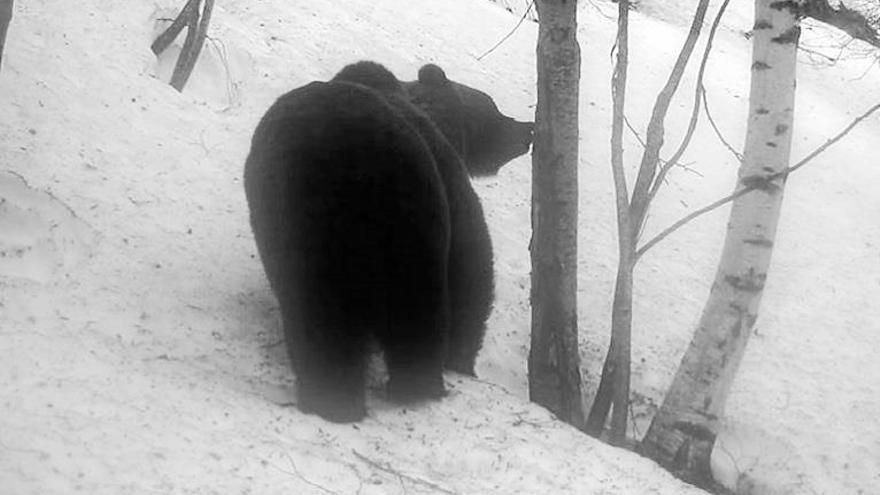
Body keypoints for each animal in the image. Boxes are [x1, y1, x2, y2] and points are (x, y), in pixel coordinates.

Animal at [248, 61, 532, 422]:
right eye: (493, 108)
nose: (528, 130)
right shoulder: (451, 188)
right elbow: (472, 271)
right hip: (407, 229)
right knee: (411, 313)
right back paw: (407, 387)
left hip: (316, 228)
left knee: (324, 316)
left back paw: (336, 398)